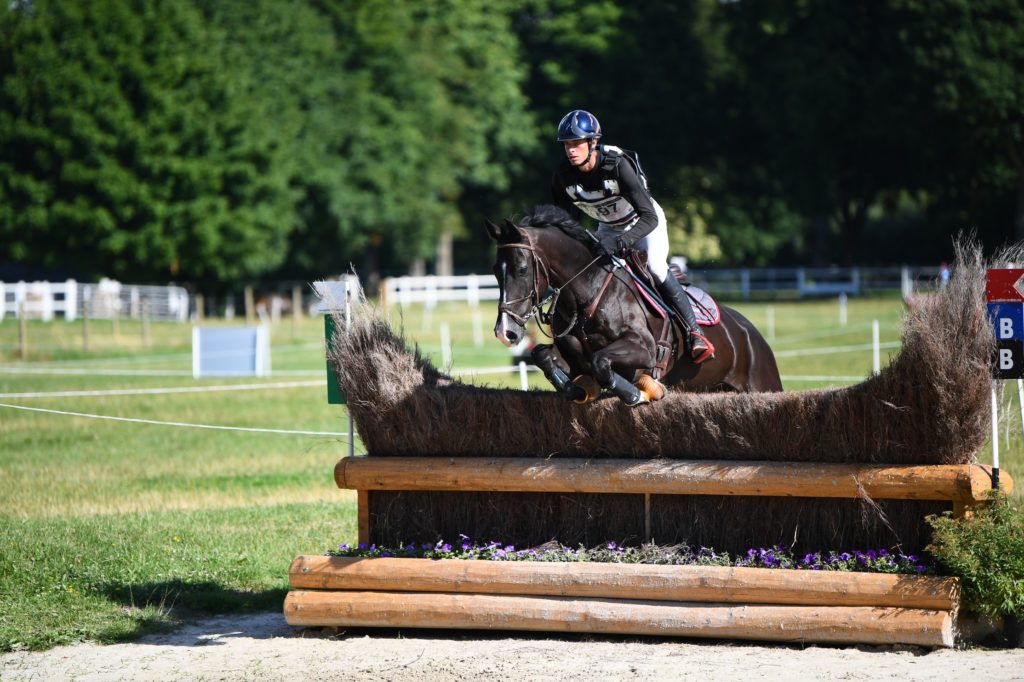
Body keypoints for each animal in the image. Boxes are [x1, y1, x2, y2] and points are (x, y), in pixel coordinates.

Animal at [483, 202, 778, 403]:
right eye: (496, 271)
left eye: (522, 270)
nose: (505, 332)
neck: (587, 293)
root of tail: (751, 332)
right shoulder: (574, 358)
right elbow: (543, 355)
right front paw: (574, 388)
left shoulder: (644, 350)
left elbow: (602, 361)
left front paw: (636, 393)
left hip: (763, 382)